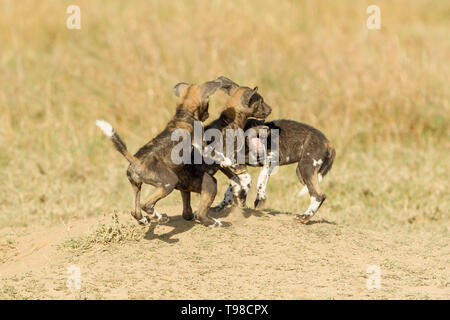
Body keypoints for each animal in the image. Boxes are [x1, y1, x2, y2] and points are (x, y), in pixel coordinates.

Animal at [96, 80, 222, 225]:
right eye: (207, 106)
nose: (208, 115)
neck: (183, 115)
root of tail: (135, 160)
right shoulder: (202, 146)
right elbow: (216, 154)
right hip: (169, 182)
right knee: (147, 205)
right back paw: (161, 218)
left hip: (137, 185)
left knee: (135, 211)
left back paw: (145, 219)